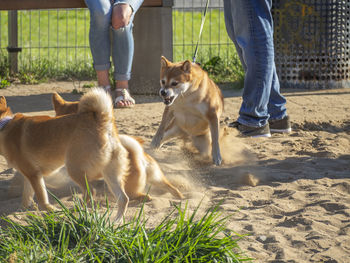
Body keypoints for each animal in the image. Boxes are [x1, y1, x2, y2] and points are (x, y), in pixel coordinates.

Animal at [0, 89, 130, 221]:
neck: (4, 126)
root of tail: (101, 121)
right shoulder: (30, 175)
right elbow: (25, 199)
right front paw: (18, 214)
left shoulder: (34, 175)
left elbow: (42, 201)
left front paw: (53, 210)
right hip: (110, 175)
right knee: (123, 198)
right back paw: (117, 221)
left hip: (74, 169)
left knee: (91, 192)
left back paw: (74, 211)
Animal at [52, 93, 183, 204]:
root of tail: (137, 155)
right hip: (156, 177)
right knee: (171, 187)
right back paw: (180, 196)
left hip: (127, 185)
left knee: (136, 195)